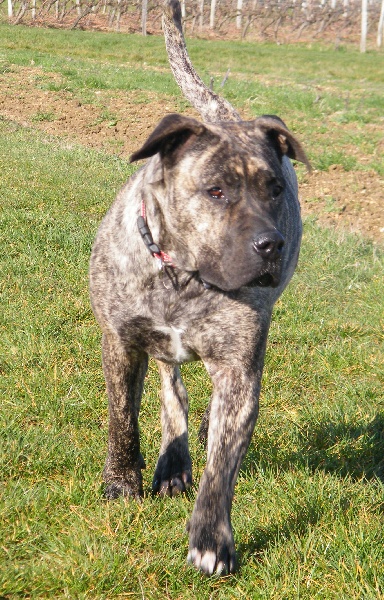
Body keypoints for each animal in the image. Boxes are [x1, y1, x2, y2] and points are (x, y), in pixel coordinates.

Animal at [89, 0, 308, 576]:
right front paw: (123, 482)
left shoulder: (238, 366)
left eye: (275, 189)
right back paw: (170, 461)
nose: (271, 245)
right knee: (173, 389)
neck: (183, 276)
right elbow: (123, 419)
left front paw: (211, 538)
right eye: (216, 190)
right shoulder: (121, 341)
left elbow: (222, 466)